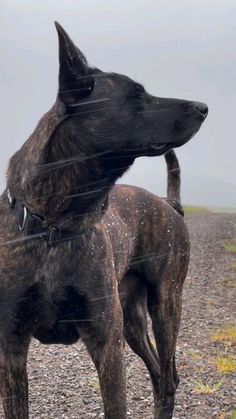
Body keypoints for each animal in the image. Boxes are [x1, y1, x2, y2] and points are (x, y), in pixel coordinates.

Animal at [0, 23, 206, 419]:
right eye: (137, 95)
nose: (203, 107)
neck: (55, 225)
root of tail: (170, 204)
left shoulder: (106, 344)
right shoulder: (12, 349)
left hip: (165, 306)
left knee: (168, 378)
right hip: (133, 321)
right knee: (160, 374)